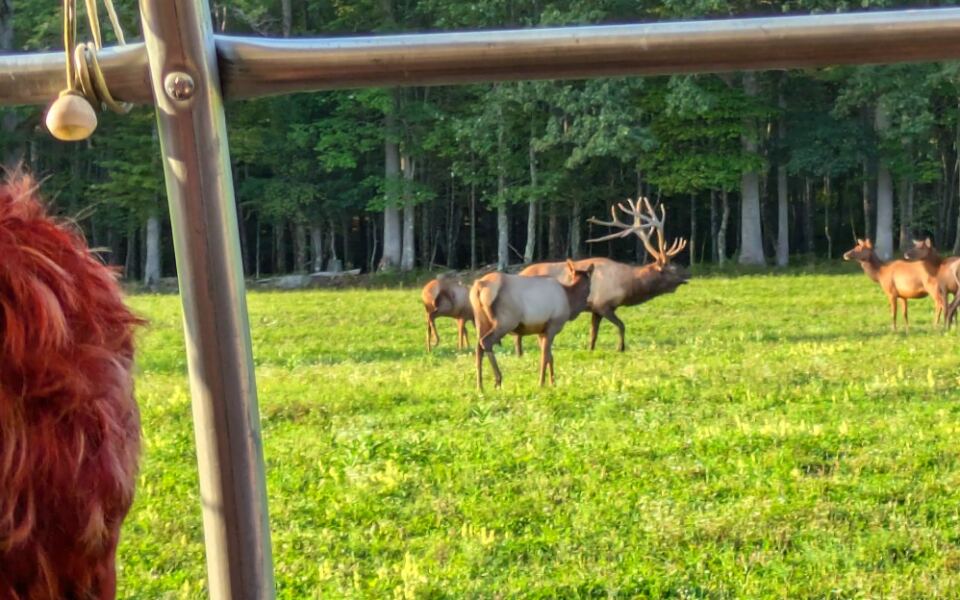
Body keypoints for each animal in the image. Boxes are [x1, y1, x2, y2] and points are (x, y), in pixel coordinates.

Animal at [471, 259, 594, 390]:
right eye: (589, 286)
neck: (570, 302)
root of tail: (480, 285)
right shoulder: (553, 326)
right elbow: (544, 356)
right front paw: (541, 383)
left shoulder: (541, 331)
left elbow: (550, 357)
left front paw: (552, 382)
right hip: (506, 321)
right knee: (486, 342)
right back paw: (498, 380)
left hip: (481, 321)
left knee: (478, 348)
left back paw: (480, 386)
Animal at [519, 197, 689, 352]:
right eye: (673, 269)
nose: (686, 278)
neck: (626, 286)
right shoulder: (602, 304)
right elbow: (621, 325)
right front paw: (620, 348)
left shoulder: (596, 309)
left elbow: (593, 334)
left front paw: (591, 349)